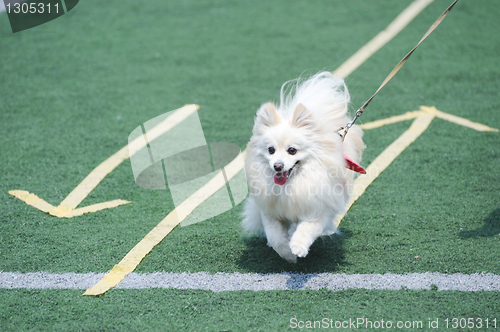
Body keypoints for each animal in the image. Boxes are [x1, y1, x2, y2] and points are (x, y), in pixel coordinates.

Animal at [241, 71, 364, 264]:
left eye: (292, 150)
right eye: (271, 150)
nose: (278, 166)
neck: (290, 185)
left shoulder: (318, 209)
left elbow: (307, 228)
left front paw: (297, 247)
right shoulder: (270, 212)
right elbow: (275, 237)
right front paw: (288, 255)